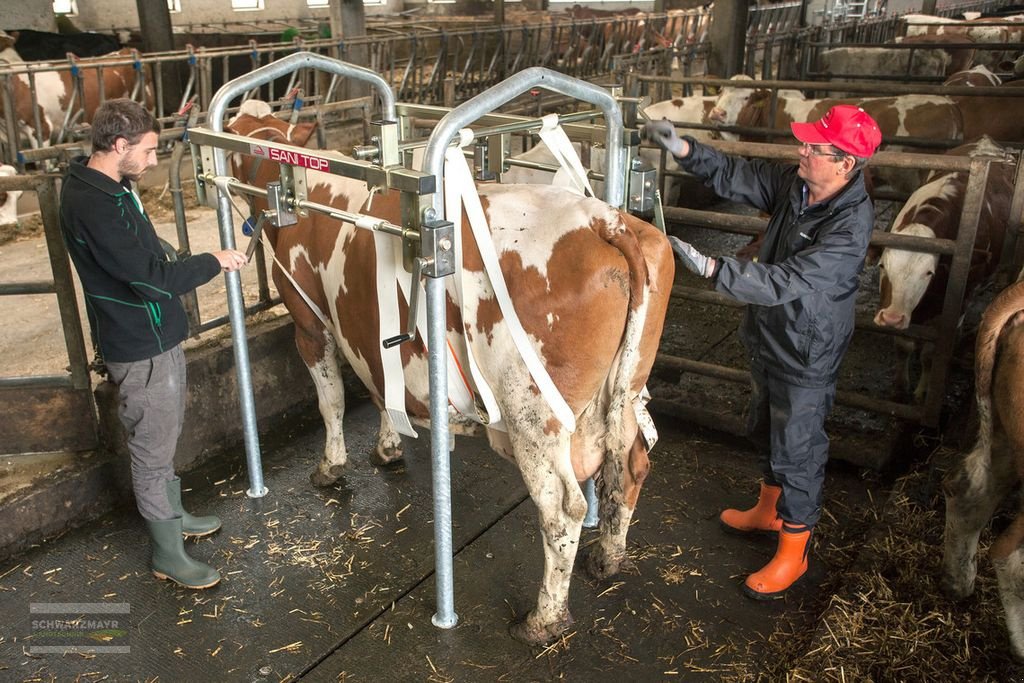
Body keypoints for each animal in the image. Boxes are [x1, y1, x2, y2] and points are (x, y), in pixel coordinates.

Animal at [226, 104, 671, 643]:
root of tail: (604, 220)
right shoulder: (370, 332)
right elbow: (380, 388)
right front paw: (387, 447)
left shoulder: (310, 323)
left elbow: (331, 401)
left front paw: (330, 467)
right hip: (623, 392)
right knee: (631, 464)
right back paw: (607, 557)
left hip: (532, 413)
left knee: (562, 509)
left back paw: (542, 619)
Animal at [872, 135, 1015, 401]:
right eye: (882, 266)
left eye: (929, 272)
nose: (892, 318)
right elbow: (903, 346)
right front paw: (900, 388)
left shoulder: (957, 302)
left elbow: (930, 354)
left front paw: (922, 391)